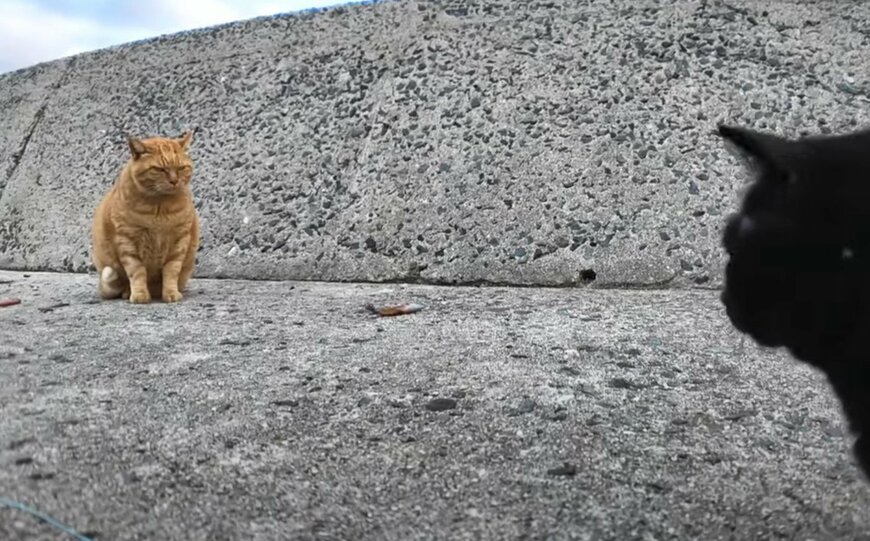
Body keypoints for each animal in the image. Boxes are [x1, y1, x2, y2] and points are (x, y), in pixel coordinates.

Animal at [92, 129, 201, 302]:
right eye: (160, 169)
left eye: (181, 168)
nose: (174, 181)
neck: (159, 207)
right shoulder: (127, 241)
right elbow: (137, 272)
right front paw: (140, 295)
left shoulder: (179, 241)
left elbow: (171, 272)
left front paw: (171, 293)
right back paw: (128, 292)